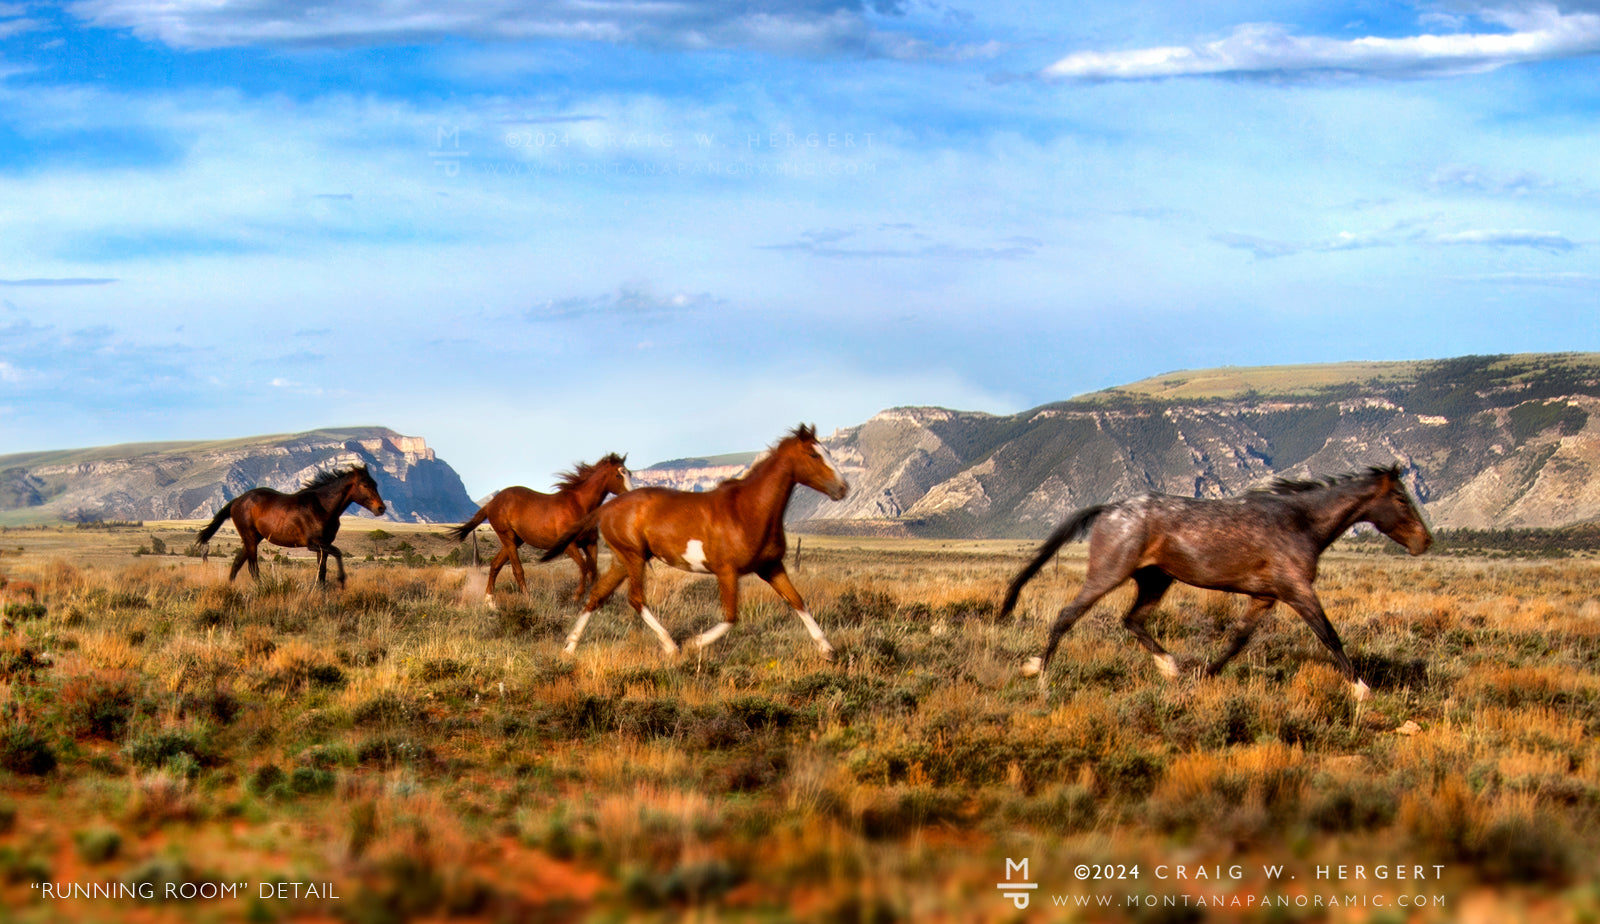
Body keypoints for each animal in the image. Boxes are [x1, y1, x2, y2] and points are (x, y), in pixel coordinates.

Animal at [196, 463, 387, 585]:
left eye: (375, 484)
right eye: (364, 485)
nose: (381, 508)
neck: (322, 507)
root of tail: (237, 501)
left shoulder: (323, 545)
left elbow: (322, 571)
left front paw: (321, 590)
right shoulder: (313, 544)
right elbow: (338, 554)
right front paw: (341, 580)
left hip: (253, 539)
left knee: (237, 564)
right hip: (250, 538)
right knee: (252, 567)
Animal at [448, 454, 633, 604]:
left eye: (629, 473)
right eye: (618, 474)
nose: (631, 496)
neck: (579, 506)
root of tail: (491, 503)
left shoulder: (590, 544)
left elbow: (594, 572)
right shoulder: (569, 545)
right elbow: (584, 567)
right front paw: (576, 596)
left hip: (515, 540)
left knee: (495, 565)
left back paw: (490, 602)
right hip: (507, 537)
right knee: (517, 570)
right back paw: (528, 599)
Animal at [540, 422, 851, 655]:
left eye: (828, 451)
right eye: (814, 455)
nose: (843, 488)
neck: (749, 509)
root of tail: (608, 506)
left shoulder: (772, 567)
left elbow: (798, 601)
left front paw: (828, 650)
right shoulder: (727, 572)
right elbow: (731, 617)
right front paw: (694, 643)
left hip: (622, 559)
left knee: (597, 596)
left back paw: (569, 648)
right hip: (634, 557)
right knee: (636, 599)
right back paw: (671, 646)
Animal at [998, 463, 1440, 700]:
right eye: (1401, 499)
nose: (1426, 541)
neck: (1300, 522)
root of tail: (1110, 508)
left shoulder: (1264, 597)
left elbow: (1237, 640)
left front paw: (1204, 676)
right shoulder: (1297, 590)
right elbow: (1330, 636)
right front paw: (1362, 689)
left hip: (1155, 579)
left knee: (1132, 620)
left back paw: (1172, 668)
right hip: (1109, 573)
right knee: (1068, 614)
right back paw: (1038, 671)